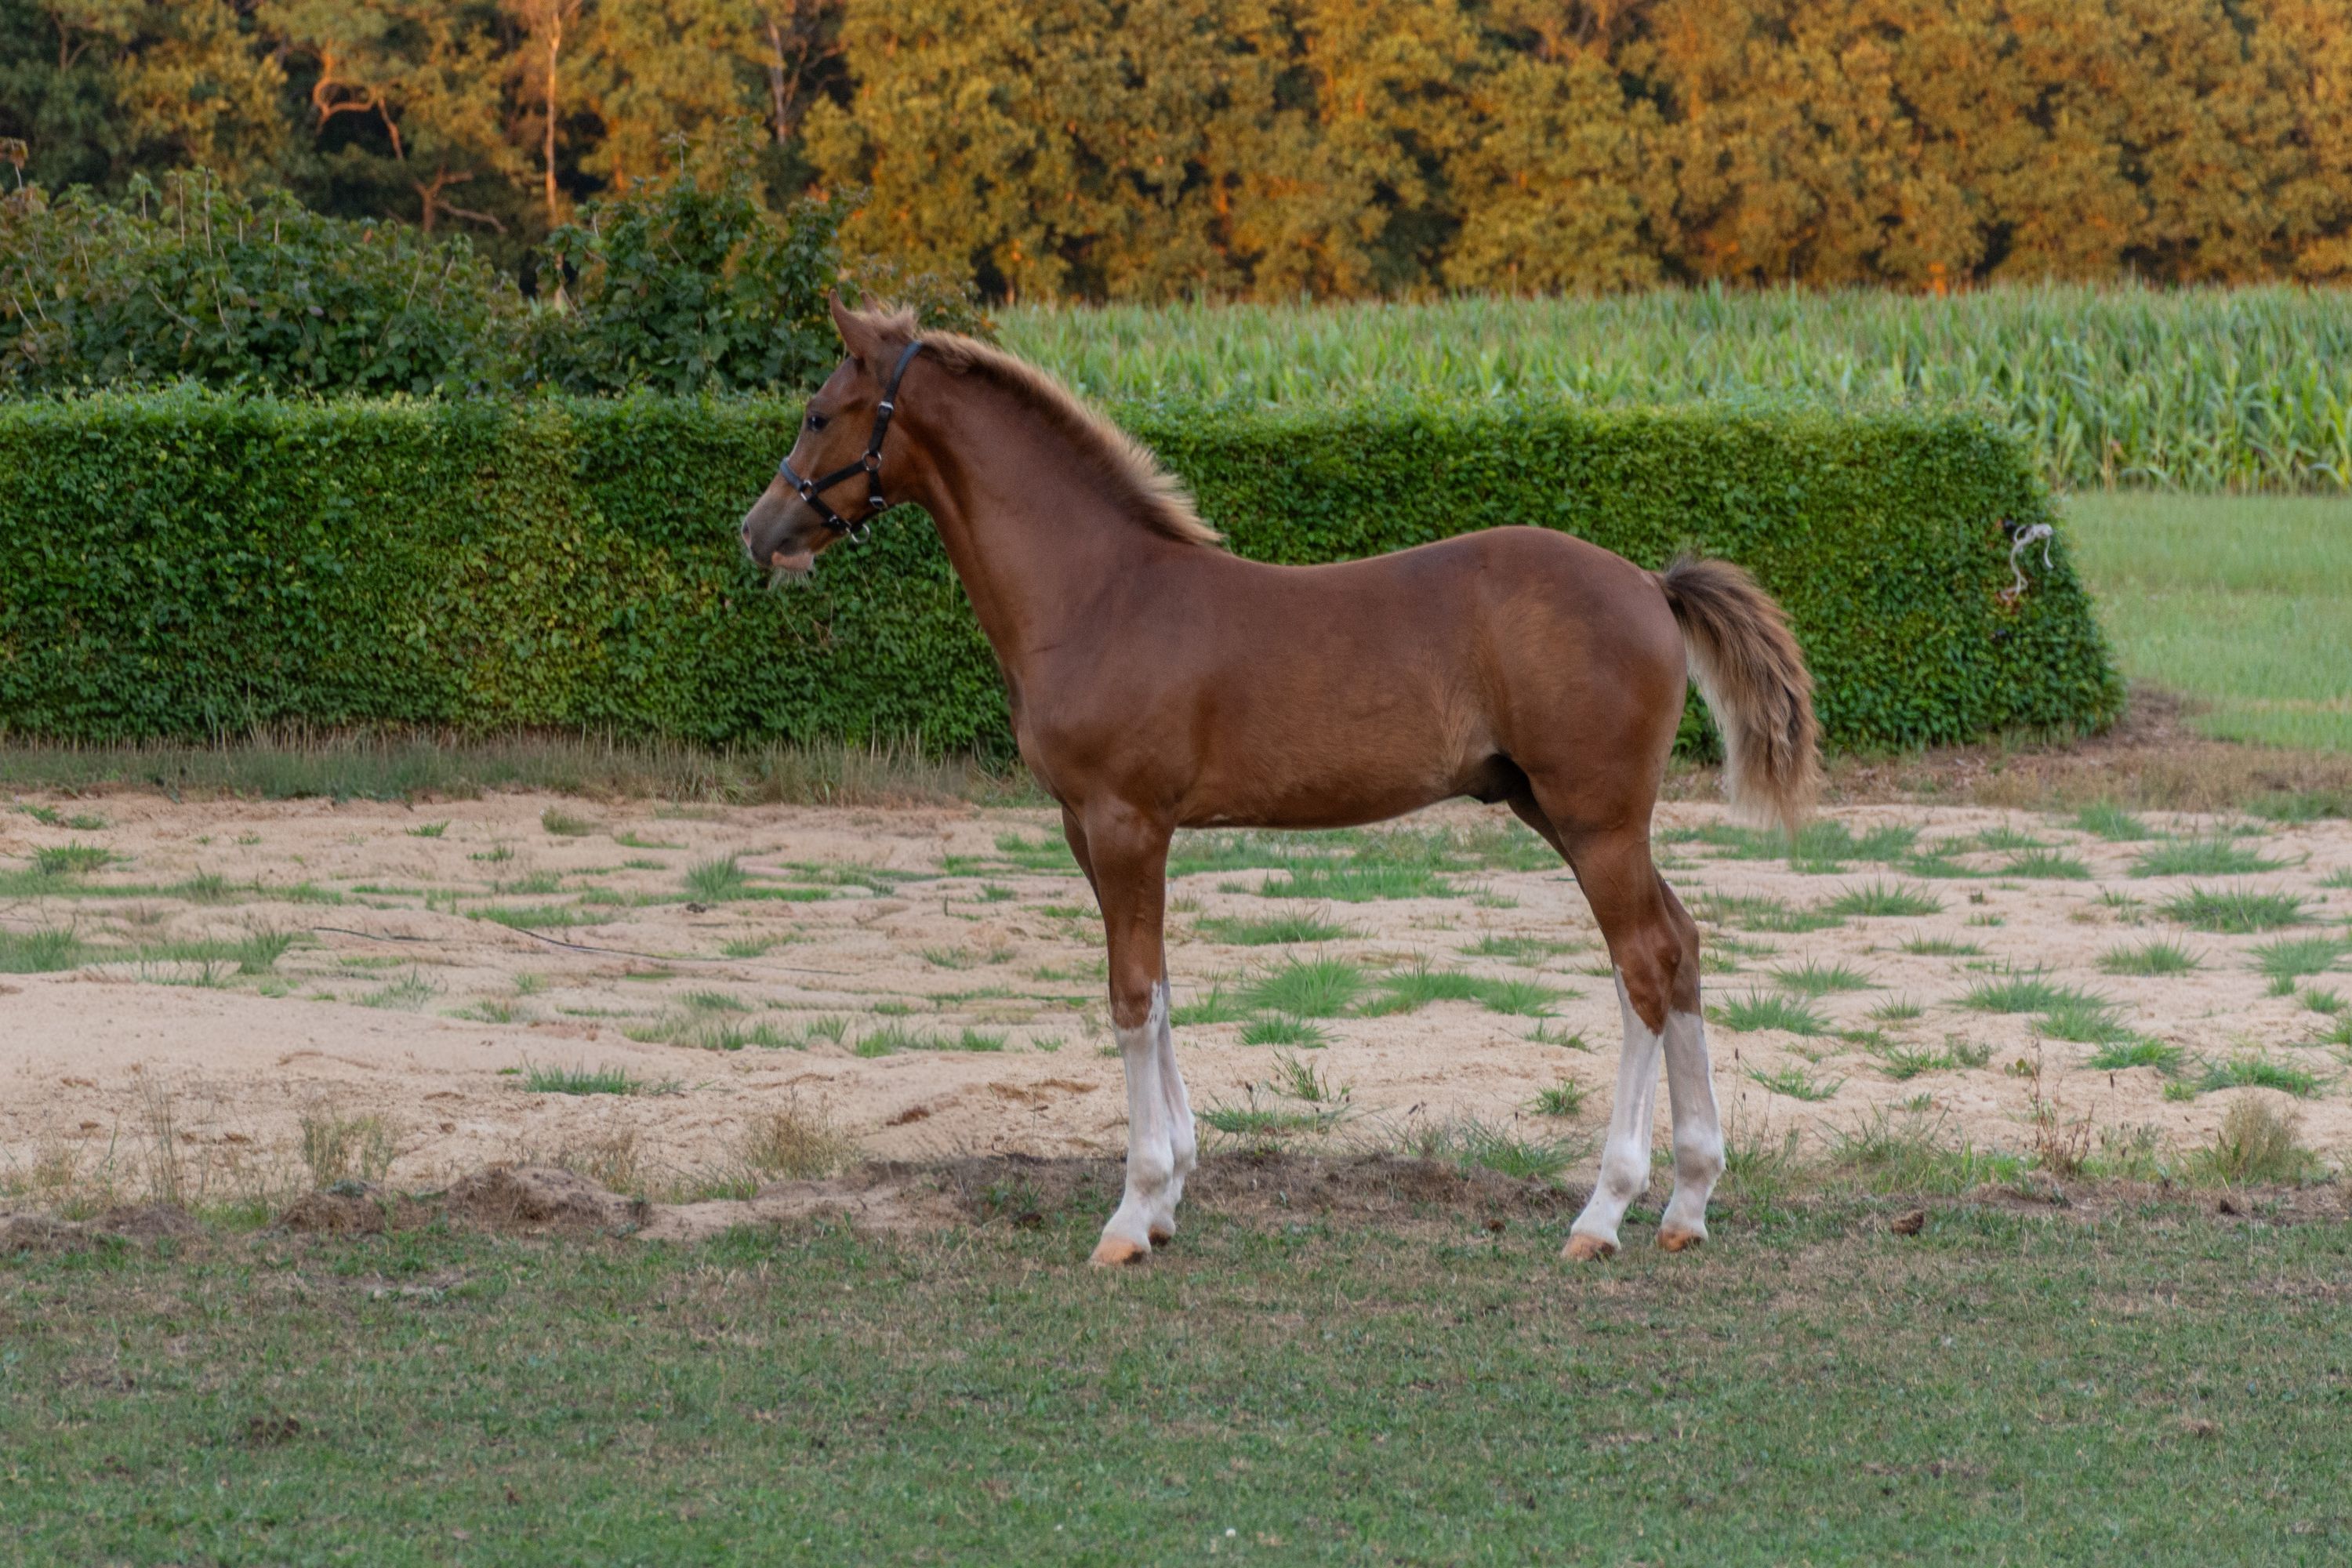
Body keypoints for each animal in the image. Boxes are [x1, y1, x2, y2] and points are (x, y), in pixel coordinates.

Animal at [741, 297, 1821, 1265]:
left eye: (819, 411)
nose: (760, 530)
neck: (1100, 593)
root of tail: (1650, 585)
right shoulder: (1090, 827)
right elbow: (1159, 987)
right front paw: (1168, 1194)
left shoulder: (1126, 821)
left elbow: (1129, 995)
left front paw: (1131, 1212)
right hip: (1555, 808)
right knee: (1680, 945)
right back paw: (1688, 1199)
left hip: (1595, 819)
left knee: (1642, 964)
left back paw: (1605, 1210)